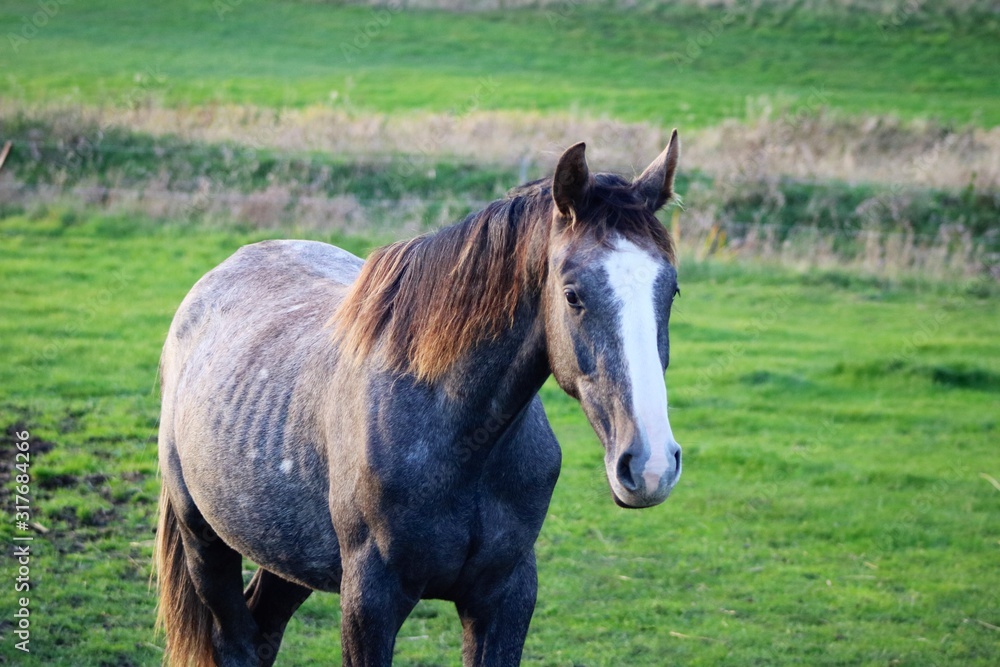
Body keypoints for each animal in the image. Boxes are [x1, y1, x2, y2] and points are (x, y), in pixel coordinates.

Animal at [155, 132, 684, 667]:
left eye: (673, 291)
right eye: (573, 294)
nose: (651, 465)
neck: (461, 440)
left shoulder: (508, 596)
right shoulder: (369, 602)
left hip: (287, 552)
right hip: (204, 540)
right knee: (235, 642)